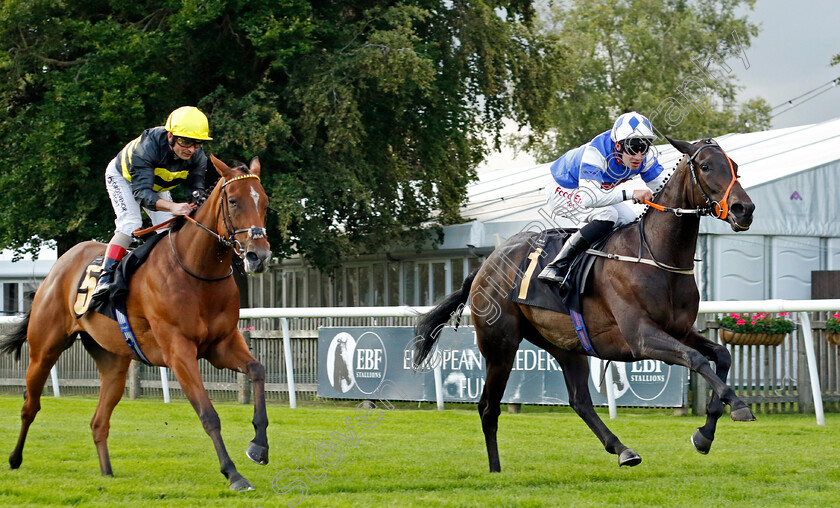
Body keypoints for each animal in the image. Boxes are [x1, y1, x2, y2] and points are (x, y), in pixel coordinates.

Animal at [0, 156, 272, 492]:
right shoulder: (179, 352)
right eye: (233, 201)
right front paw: (233, 474)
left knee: (99, 421)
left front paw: (259, 446)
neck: (197, 271)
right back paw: (15, 459)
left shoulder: (222, 345)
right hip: (44, 350)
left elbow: (257, 371)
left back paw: (107, 473)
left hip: (113, 362)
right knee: (30, 406)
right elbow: (208, 414)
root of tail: (58, 267)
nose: (259, 256)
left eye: (265, 202)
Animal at [416, 136, 756, 472]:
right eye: (706, 166)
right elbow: (696, 359)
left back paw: (623, 450)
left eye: (734, 165)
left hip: (565, 345)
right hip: (500, 346)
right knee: (489, 407)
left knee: (579, 400)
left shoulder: (681, 331)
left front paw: (706, 433)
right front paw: (738, 405)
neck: (656, 256)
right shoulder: (641, 337)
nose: (745, 209)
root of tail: (485, 265)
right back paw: (496, 471)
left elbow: (721, 355)